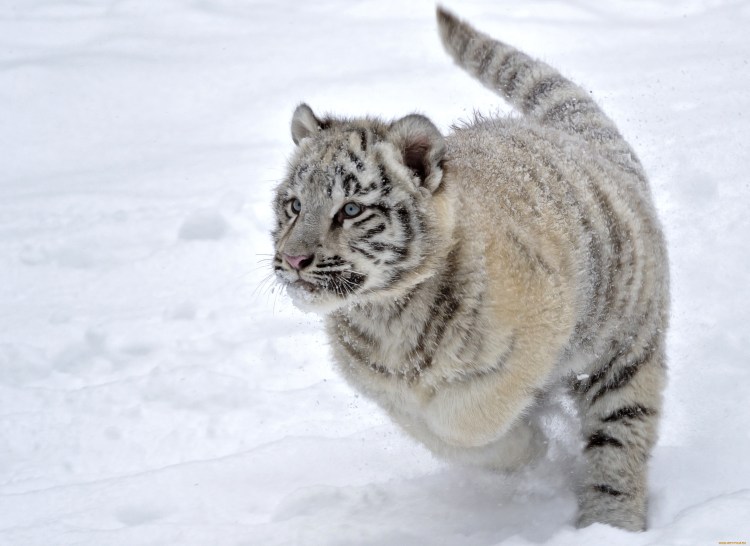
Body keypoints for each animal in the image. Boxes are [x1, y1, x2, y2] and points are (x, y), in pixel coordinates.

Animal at [270, 7, 669, 532]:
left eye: (351, 210)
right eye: (294, 205)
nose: (294, 259)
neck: (387, 313)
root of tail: (580, 143)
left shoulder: (535, 335)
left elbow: (468, 417)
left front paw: (530, 445)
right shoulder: (388, 392)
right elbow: (442, 434)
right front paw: (524, 447)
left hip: (625, 351)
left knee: (618, 443)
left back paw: (609, 525)